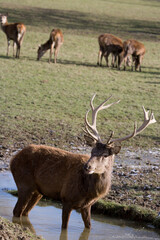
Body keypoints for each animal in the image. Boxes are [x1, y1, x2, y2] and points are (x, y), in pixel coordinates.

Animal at [9, 94, 156, 229]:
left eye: (105, 155)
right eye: (91, 151)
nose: (87, 166)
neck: (89, 192)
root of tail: (12, 159)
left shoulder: (87, 206)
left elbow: (89, 227)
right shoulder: (67, 198)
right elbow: (64, 227)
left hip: (38, 191)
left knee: (25, 212)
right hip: (25, 184)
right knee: (17, 211)